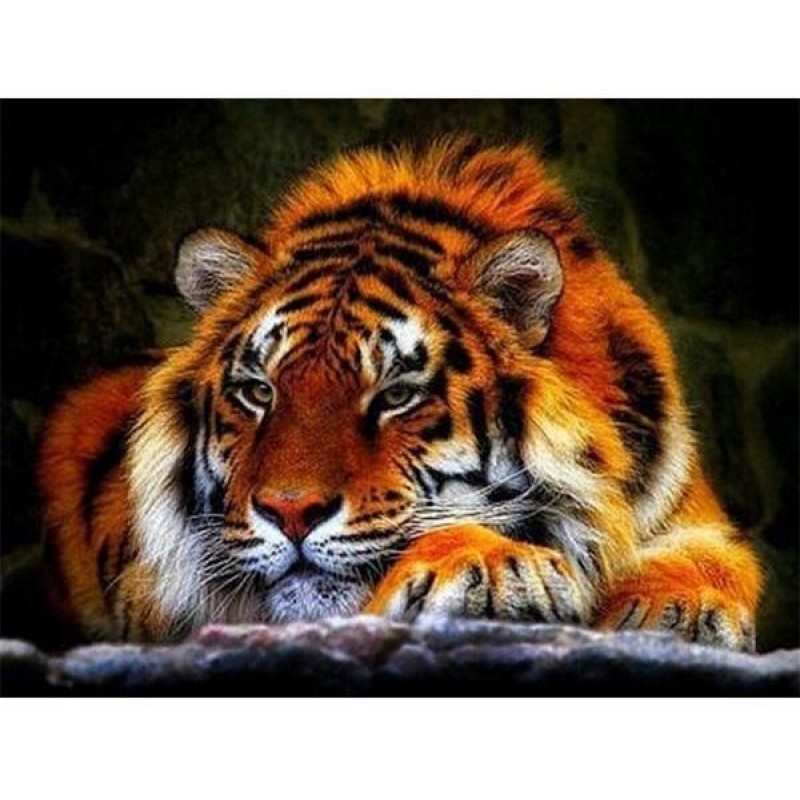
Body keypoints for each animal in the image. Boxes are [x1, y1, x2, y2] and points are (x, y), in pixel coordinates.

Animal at [38, 138, 762, 650]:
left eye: (396, 395)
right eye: (258, 391)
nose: (290, 512)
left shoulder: (689, 513)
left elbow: (713, 559)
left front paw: (676, 608)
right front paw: (493, 564)